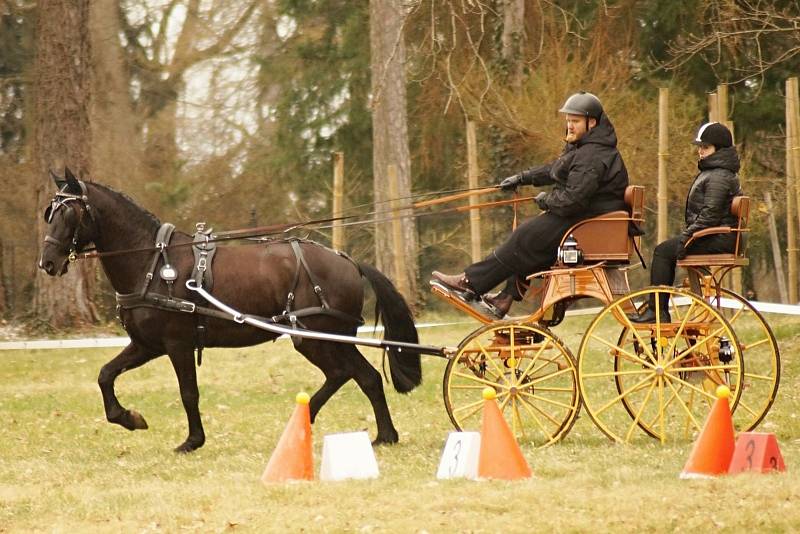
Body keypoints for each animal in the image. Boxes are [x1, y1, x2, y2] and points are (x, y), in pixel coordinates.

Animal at [39, 170, 418, 454]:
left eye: (69, 213)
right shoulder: (147, 345)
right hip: (322, 338)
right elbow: (105, 375)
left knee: (353, 375)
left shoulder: (177, 344)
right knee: (358, 376)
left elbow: (188, 393)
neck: (152, 262)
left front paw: (192, 441)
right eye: (50, 212)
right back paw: (373, 434)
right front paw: (129, 418)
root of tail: (348, 261)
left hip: (319, 337)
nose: (47, 263)